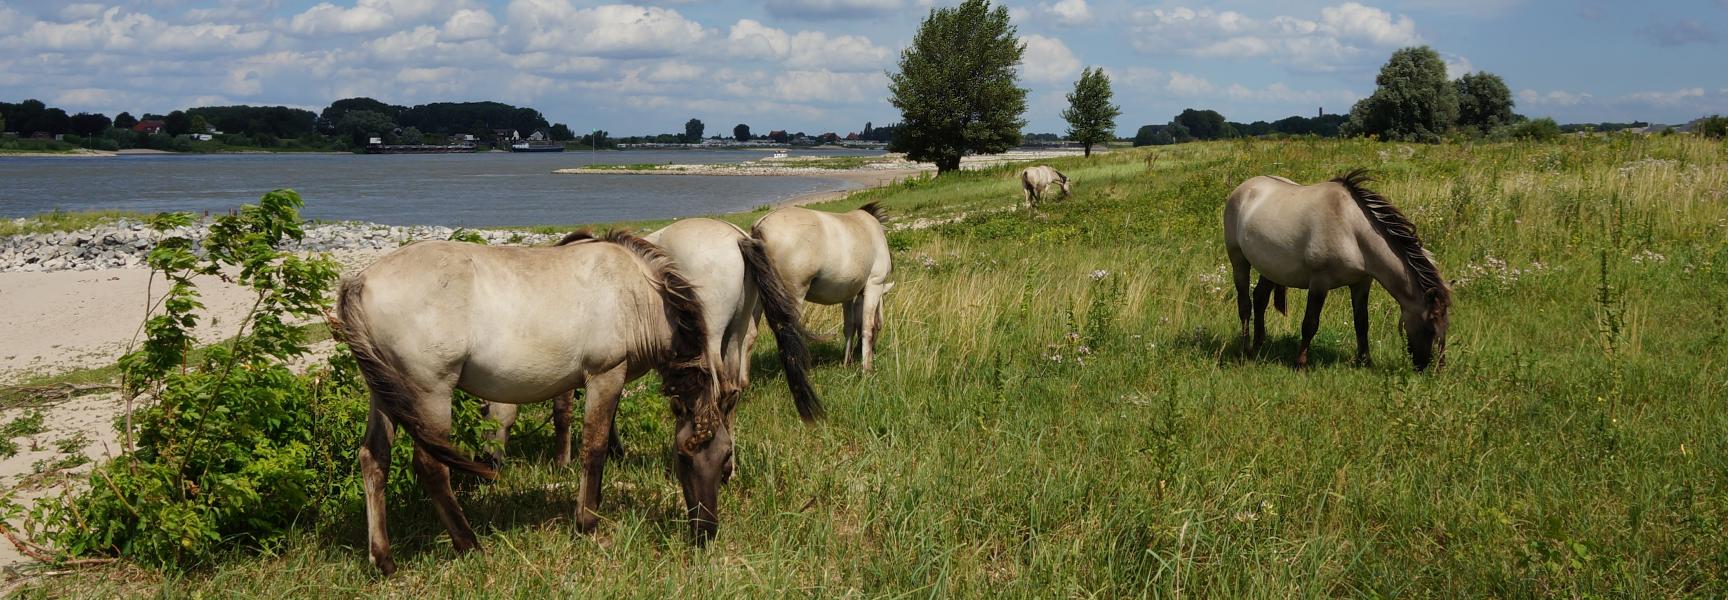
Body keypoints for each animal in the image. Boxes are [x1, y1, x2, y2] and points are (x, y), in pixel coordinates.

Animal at [335, 230, 761, 575]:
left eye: (725, 457)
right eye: (684, 457)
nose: (706, 531)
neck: (638, 293)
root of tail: (361, 281)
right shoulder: (605, 374)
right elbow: (594, 448)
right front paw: (586, 523)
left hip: (386, 393)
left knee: (373, 459)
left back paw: (384, 559)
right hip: (430, 392)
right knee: (430, 467)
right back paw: (469, 544)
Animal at [751, 202, 894, 370]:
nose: (862, 351)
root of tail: (761, 226)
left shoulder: (848, 294)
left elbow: (849, 327)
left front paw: (846, 362)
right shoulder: (874, 285)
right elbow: (867, 328)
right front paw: (866, 368)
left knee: (749, 336)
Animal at [1223, 169, 1452, 370]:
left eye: (1446, 325)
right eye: (1430, 324)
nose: (1435, 369)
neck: (1351, 230)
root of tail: (1243, 188)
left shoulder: (1361, 283)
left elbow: (1362, 322)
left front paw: (1365, 361)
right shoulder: (1319, 283)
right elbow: (1310, 324)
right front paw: (1300, 364)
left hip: (1271, 268)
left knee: (1260, 298)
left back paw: (1258, 345)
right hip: (1238, 260)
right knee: (1245, 305)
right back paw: (1246, 351)